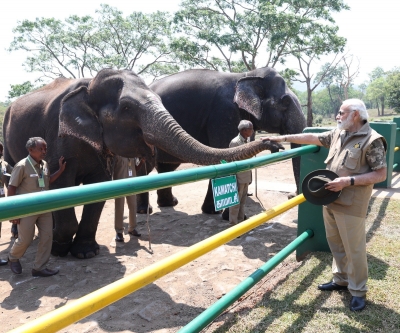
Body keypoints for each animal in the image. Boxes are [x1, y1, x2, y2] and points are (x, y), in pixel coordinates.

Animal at [2, 68, 282, 260]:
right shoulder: (57, 138)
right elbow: (61, 183)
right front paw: (60, 249)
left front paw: (85, 253)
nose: (273, 143)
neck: (89, 84)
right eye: (126, 108)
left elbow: (98, 189)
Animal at [134, 66, 306, 214]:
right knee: (146, 167)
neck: (247, 75)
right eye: (286, 101)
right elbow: (223, 153)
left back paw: (169, 203)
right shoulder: (223, 113)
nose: (291, 195)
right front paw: (214, 212)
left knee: (167, 166)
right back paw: (144, 210)